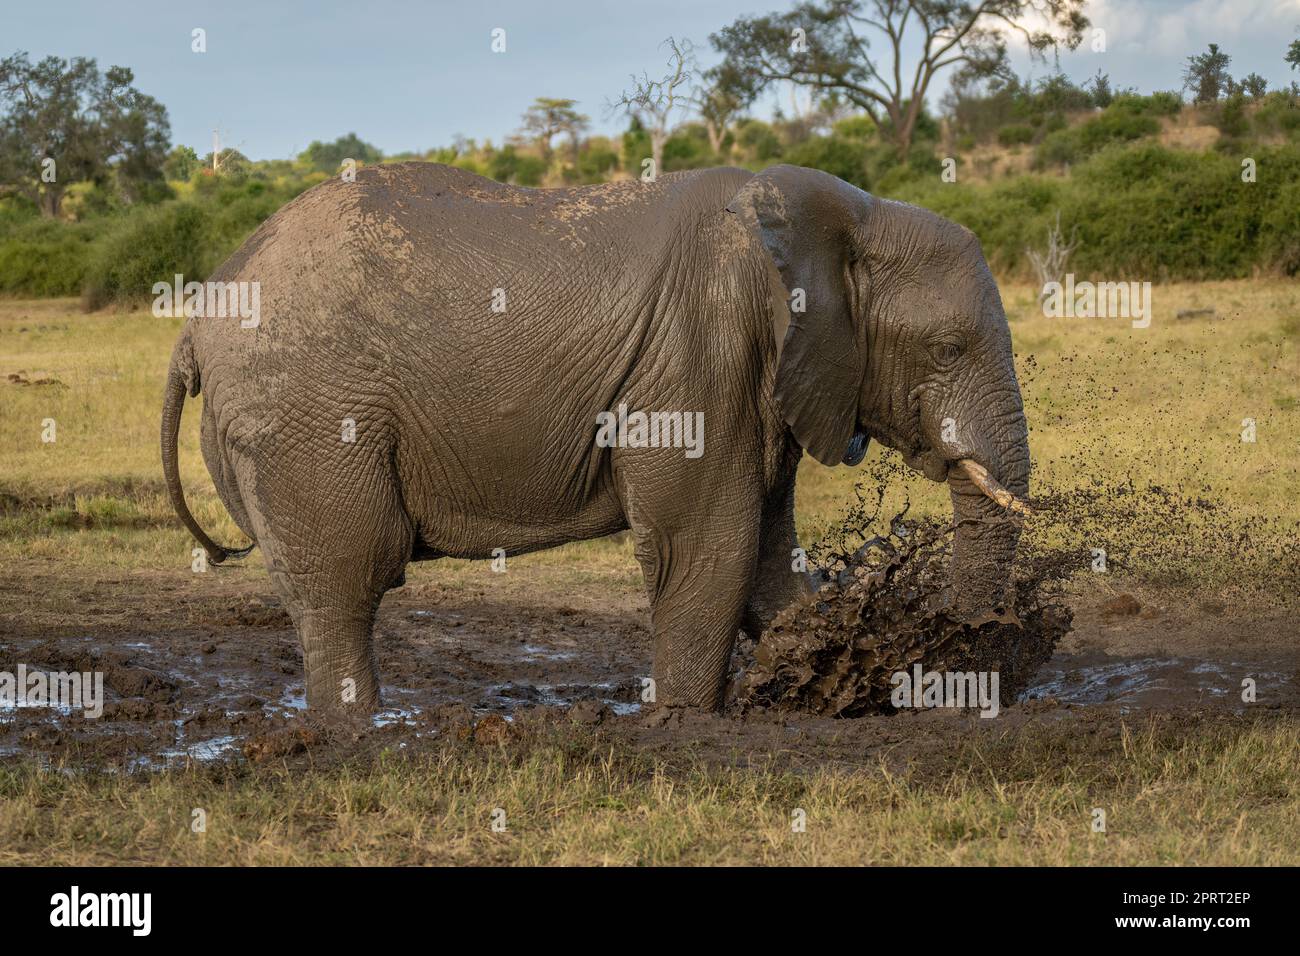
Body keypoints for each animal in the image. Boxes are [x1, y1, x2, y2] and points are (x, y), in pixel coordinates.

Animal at [161, 162, 1030, 713]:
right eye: (948, 349)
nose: (957, 651)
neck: (848, 214)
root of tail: (196, 321)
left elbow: (768, 557)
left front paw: (830, 671)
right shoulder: (703, 353)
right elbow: (707, 548)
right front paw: (683, 723)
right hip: (305, 413)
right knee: (348, 575)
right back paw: (360, 735)